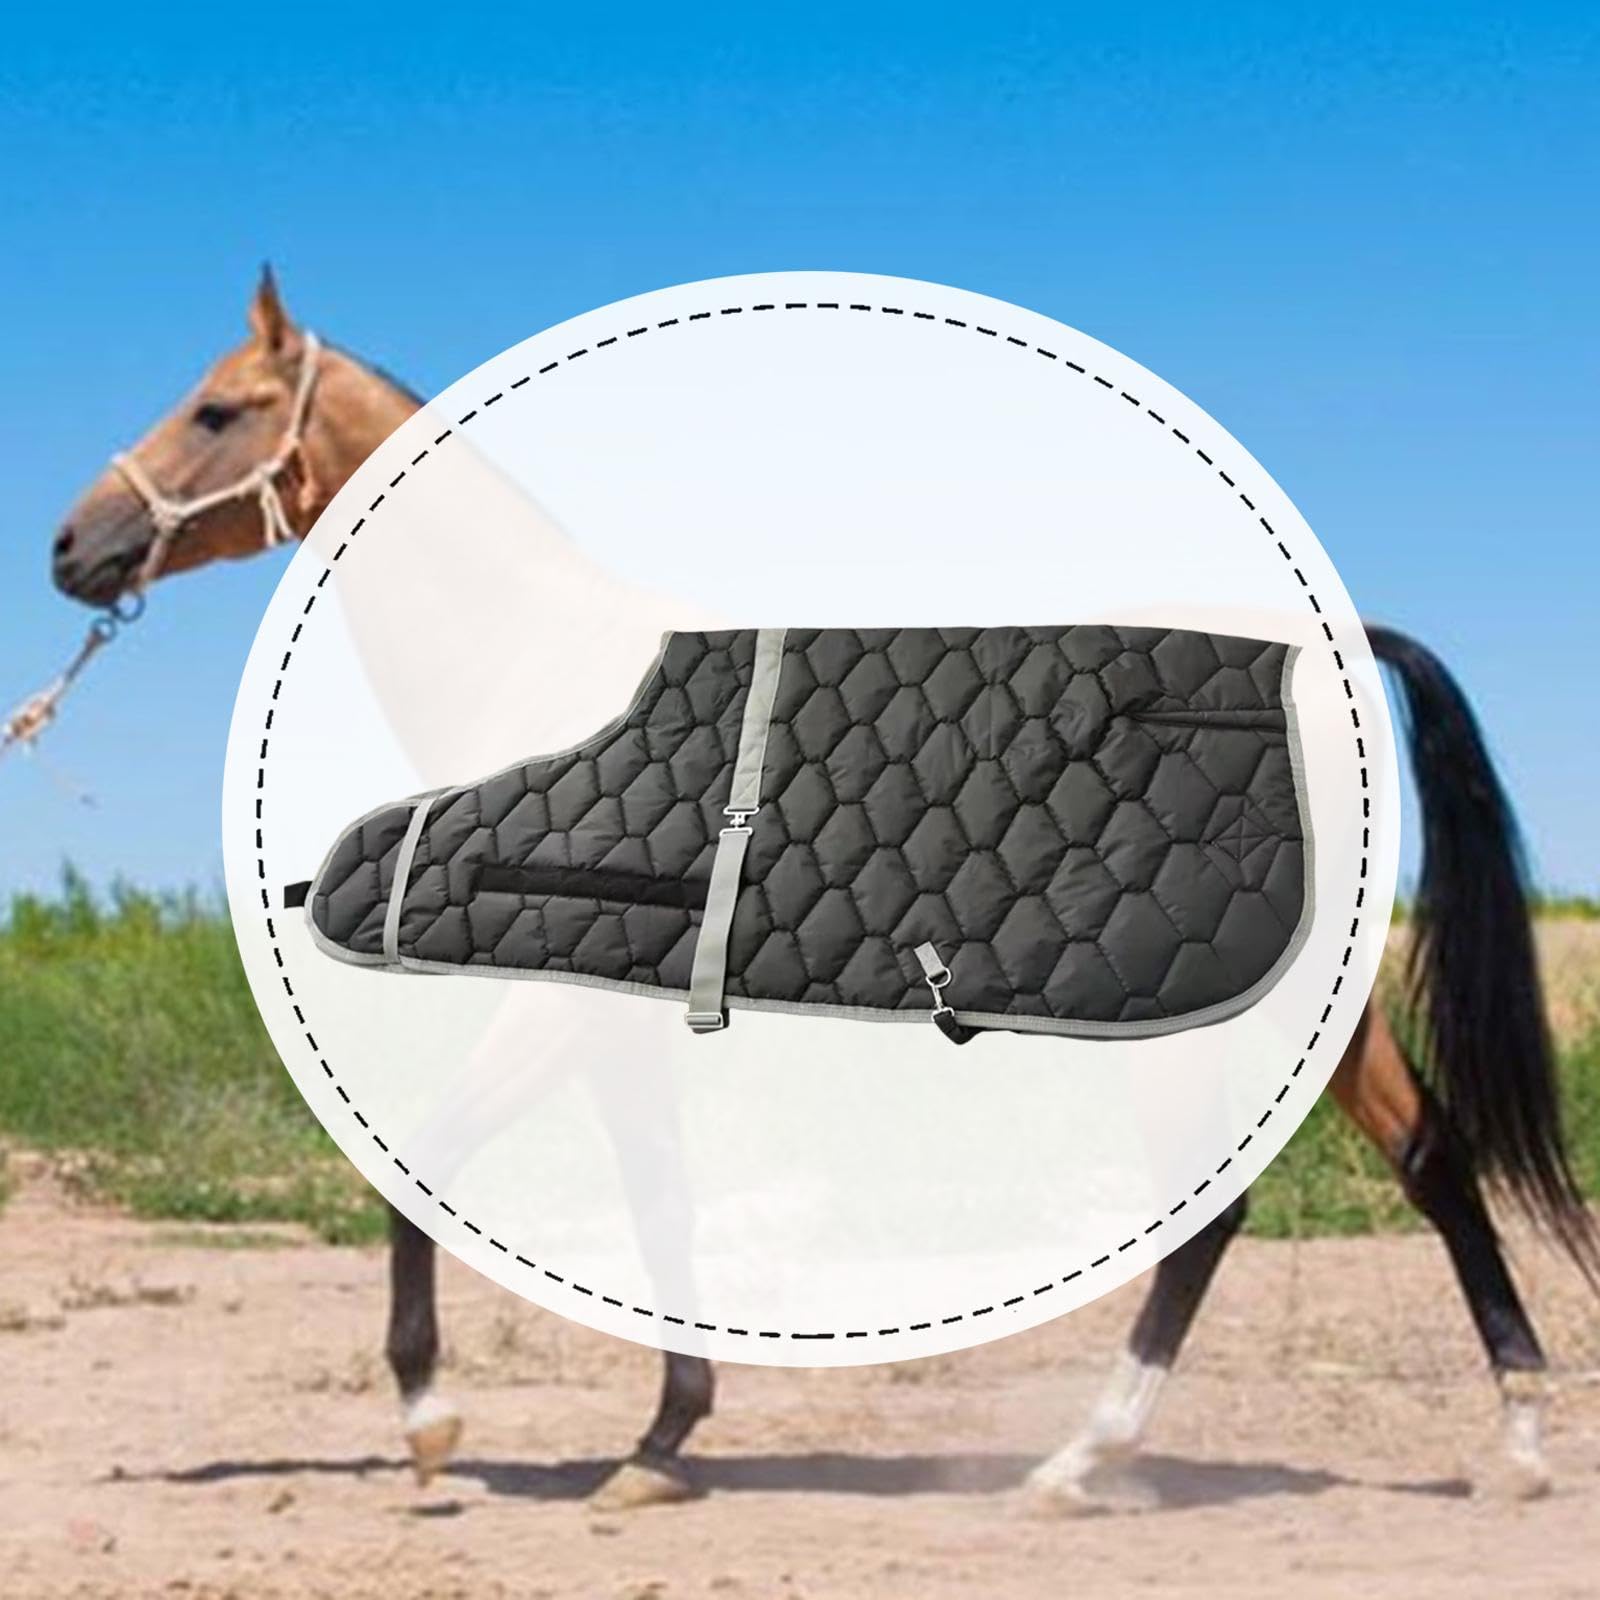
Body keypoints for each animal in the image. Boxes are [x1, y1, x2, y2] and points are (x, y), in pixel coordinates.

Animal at [50, 269, 1596, 1509]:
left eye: (216, 410)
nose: (73, 548)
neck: (545, 672)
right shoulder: (611, 1030)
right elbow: (660, 1202)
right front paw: (660, 1443)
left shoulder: (544, 1015)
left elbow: (428, 1164)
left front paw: (435, 1426)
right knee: (1429, 1157)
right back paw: (1514, 1442)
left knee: (1223, 1212)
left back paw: (1081, 1462)